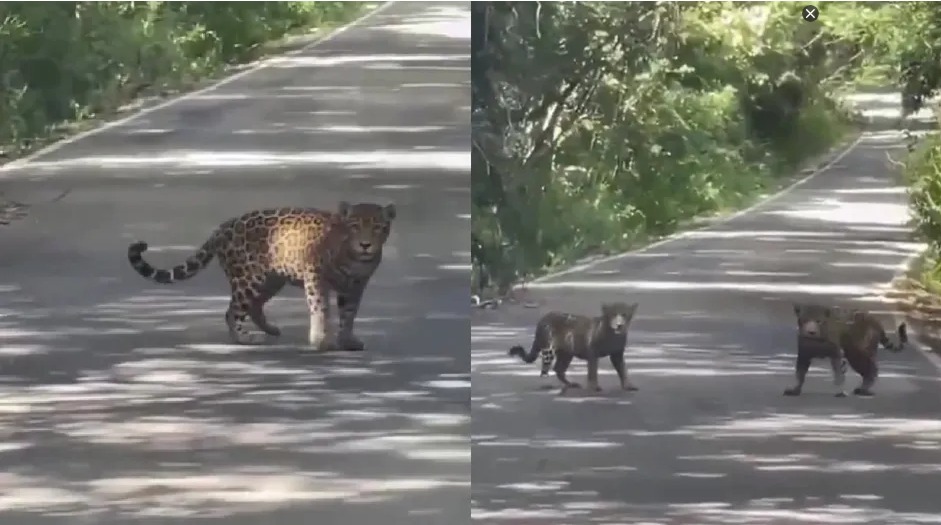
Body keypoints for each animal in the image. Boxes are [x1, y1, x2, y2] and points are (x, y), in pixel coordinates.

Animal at [127, 201, 395, 351]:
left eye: (378, 228)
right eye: (355, 226)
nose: (365, 245)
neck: (353, 257)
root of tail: (222, 227)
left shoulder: (356, 285)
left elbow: (349, 314)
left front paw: (348, 340)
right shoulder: (315, 278)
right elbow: (321, 309)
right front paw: (322, 340)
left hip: (271, 279)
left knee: (253, 306)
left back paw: (271, 330)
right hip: (249, 278)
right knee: (232, 311)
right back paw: (244, 338)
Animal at [508, 301, 640, 394]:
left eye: (624, 314)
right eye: (613, 314)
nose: (619, 324)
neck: (614, 335)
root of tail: (544, 317)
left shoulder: (617, 354)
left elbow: (623, 370)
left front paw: (628, 386)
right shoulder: (593, 353)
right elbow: (592, 371)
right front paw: (594, 386)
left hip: (567, 353)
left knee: (558, 369)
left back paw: (570, 384)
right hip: (549, 349)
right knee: (545, 369)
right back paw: (548, 384)